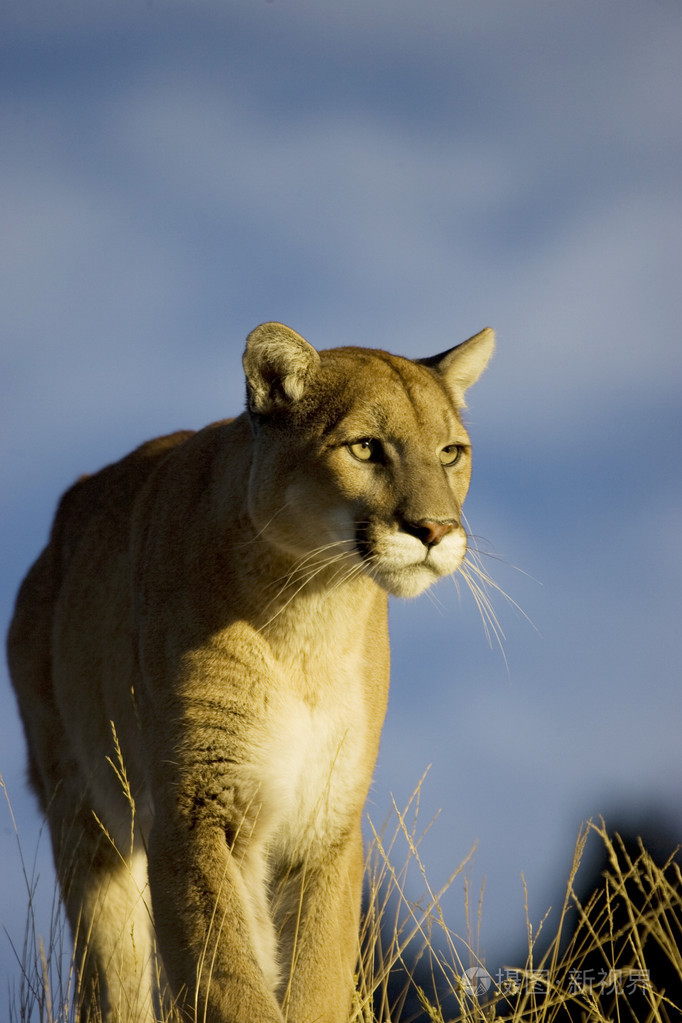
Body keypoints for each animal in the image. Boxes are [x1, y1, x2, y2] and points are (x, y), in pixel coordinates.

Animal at [6, 321, 496, 1023]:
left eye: (452, 453)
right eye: (366, 448)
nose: (434, 528)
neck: (312, 616)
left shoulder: (327, 822)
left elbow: (314, 978)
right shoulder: (193, 812)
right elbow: (230, 980)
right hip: (85, 819)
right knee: (112, 974)